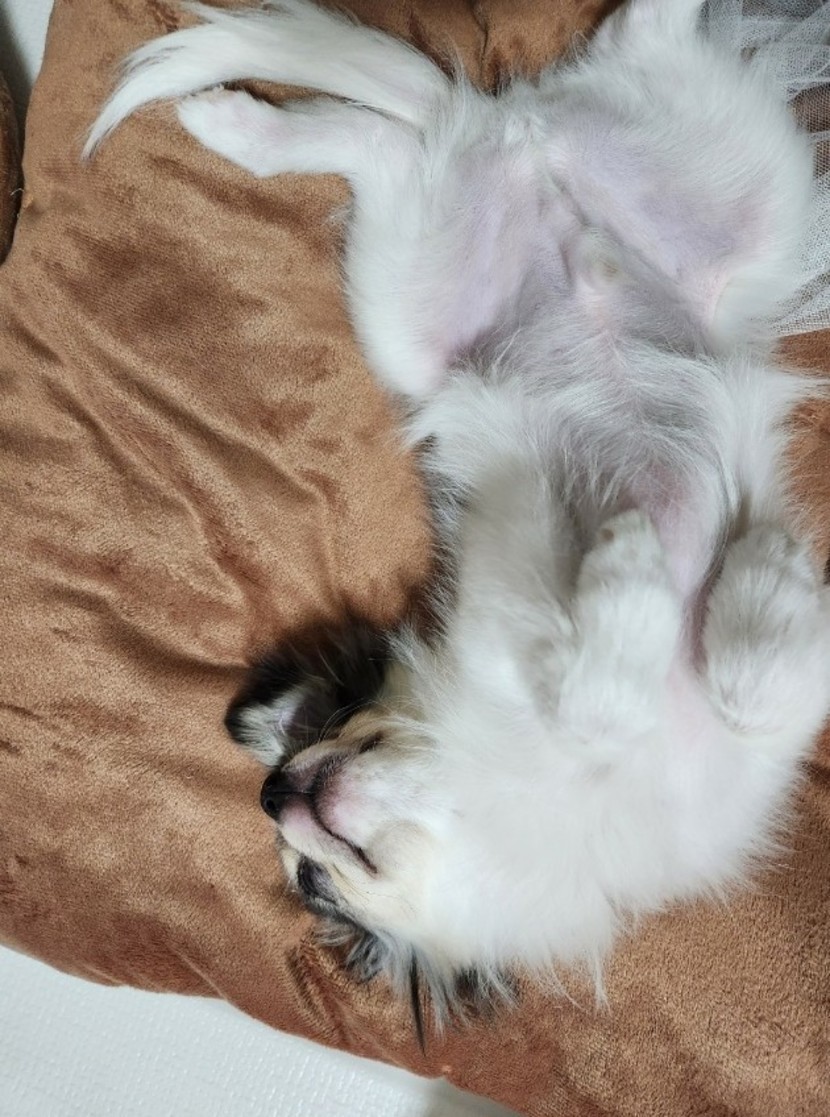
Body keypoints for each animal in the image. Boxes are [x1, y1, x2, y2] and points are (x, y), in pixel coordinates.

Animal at [88, 0, 830, 1023]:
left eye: (321, 876)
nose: (273, 791)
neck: (500, 777)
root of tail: (516, 139)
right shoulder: (529, 625)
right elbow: (609, 695)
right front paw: (650, 569)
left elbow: (750, 693)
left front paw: (760, 575)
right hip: (419, 290)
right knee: (387, 137)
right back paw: (238, 122)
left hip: (741, 196)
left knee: (438, 111)